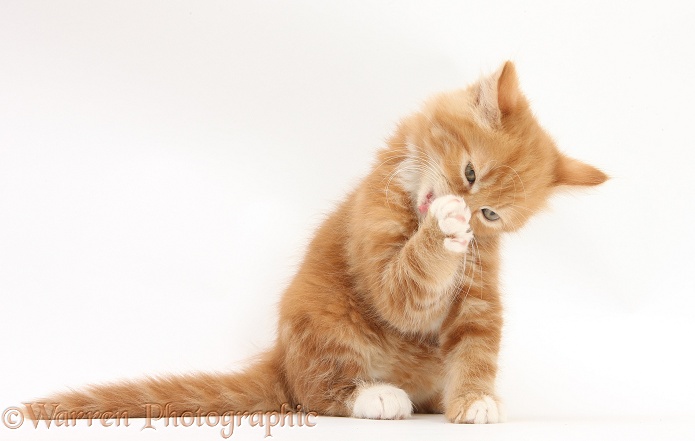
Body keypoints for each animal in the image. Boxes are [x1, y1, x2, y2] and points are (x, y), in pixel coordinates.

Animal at [31, 62, 608, 422]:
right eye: (469, 174)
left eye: (491, 214)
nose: (465, 214)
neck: (409, 207)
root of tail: (281, 359)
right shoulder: (374, 244)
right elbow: (405, 290)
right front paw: (442, 226)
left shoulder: (478, 285)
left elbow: (478, 343)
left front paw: (474, 400)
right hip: (323, 318)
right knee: (311, 394)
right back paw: (376, 398)